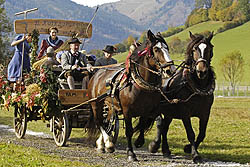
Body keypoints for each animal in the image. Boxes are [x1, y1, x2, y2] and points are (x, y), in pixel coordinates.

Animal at [88, 30, 176, 162]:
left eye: (167, 48)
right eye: (156, 49)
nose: (170, 70)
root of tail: (96, 73)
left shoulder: (148, 109)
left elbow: (147, 123)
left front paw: (141, 142)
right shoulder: (127, 111)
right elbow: (129, 131)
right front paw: (131, 153)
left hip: (109, 106)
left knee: (106, 122)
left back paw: (102, 144)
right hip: (96, 104)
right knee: (99, 122)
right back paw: (108, 143)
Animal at [135, 31, 215, 163]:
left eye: (209, 49)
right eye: (194, 49)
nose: (201, 71)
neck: (197, 86)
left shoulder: (205, 113)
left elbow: (202, 134)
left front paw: (188, 148)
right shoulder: (185, 113)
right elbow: (191, 133)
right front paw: (195, 155)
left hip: (169, 112)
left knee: (164, 127)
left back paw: (165, 150)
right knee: (152, 122)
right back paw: (146, 143)